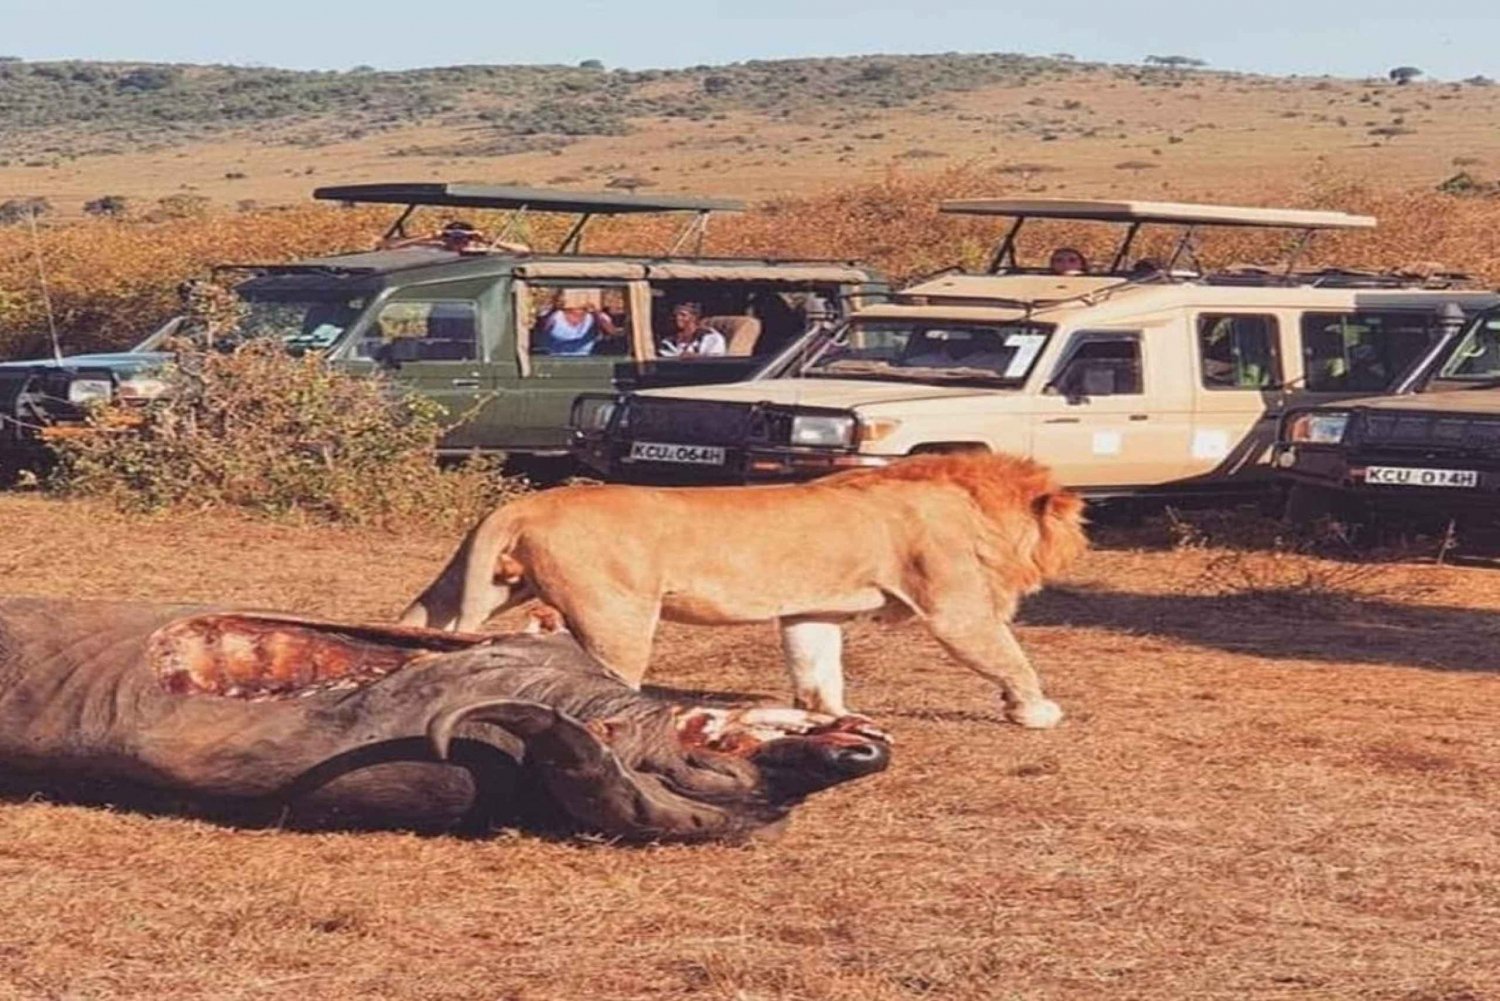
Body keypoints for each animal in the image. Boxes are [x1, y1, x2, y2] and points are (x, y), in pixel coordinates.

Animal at [399, 453, 1092, 729]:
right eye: (1072, 518)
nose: (1083, 542)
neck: (967, 502)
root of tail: (523, 505)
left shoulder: (811, 611)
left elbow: (818, 670)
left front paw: (832, 720)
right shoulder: (954, 608)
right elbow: (1009, 656)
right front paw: (1035, 711)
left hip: (475, 585)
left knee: (422, 627)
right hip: (617, 614)